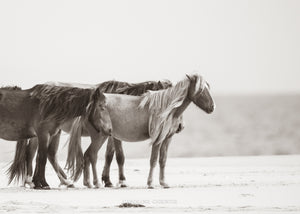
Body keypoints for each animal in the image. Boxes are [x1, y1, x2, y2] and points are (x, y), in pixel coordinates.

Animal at [8, 80, 172, 187]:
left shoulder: (110, 134)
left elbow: (109, 155)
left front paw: (107, 180)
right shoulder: (114, 136)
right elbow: (119, 156)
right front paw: (121, 180)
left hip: (54, 132)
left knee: (49, 154)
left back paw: (63, 181)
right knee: (33, 153)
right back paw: (32, 181)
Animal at [66, 74, 214, 189]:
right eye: (201, 90)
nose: (213, 107)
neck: (165, 109)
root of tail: (89, 106)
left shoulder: (167, 138)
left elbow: (163, 160)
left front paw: (163, 182)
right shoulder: (157, 139)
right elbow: (152, 159)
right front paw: (150, 183)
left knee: (87, 155)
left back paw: (88, 183)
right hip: (100, 137)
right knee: (92, 155)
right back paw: (95, 183)